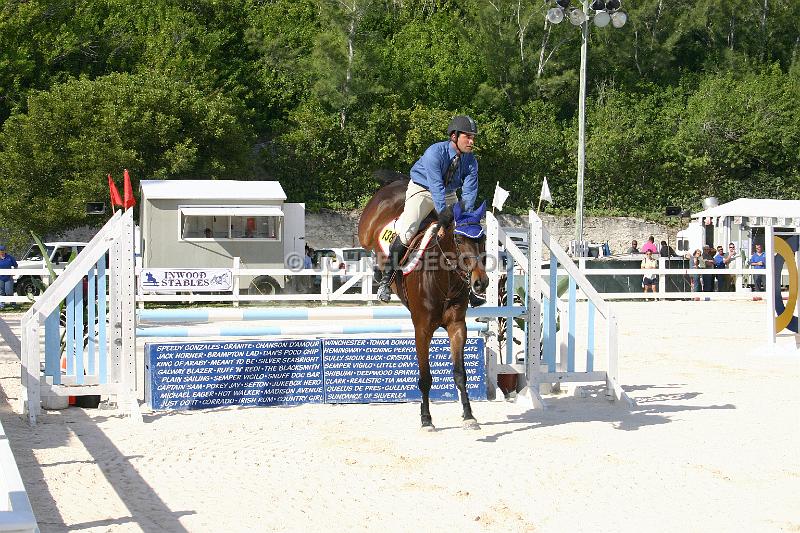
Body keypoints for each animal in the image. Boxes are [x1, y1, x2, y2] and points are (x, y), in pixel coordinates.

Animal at [358, 177, 494, 430]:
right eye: (459, 239)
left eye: (483, 239)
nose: (481, 283)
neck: (445, 279)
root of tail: (398, 181)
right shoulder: (422, 329)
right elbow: (425, 377)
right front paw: (426, 419)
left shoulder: (457, 326)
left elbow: (460, 373)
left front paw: (468, 415)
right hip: (368, 230)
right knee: (379, 244)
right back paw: (380, 277)